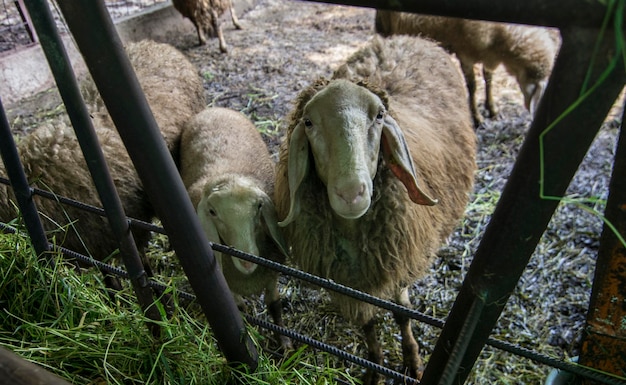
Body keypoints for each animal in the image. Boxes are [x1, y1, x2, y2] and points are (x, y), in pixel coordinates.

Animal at [178, 106, 290, 350]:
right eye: (212, 212)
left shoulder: (271, 273)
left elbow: (275, 305)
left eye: (259, 206)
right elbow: (238, 308)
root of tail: (213, 109)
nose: (247, 261)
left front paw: (285, 344)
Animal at [276, 34, 476, 382]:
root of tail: (412, 38)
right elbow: (368, 323)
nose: (351, 193)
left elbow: (402, 315)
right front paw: (375, 367)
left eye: (380, 115)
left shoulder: (396, 263)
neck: (356, 235)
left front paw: (413, 362)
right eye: (309, 122)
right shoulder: (351, 282)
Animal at [372, 10, 560, 126]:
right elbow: (473, 86)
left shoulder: (488, 55)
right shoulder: (465, 54)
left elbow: (488, 78)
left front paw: (492, 109)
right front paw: (477, 118)